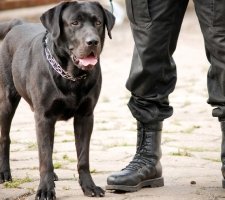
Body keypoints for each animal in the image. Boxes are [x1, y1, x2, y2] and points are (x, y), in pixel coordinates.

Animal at [0, 0, 114, 199]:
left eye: (98, 22)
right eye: (74, 23)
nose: (93, 41)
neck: (71, 75)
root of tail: (18, 24)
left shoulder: (85, 116)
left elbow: (82, 157)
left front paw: (89, 186)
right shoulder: (43, 116)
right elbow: (45, 157)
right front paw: (45, 189)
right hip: (7, 100)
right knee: (5, 138)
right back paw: (5, 173)